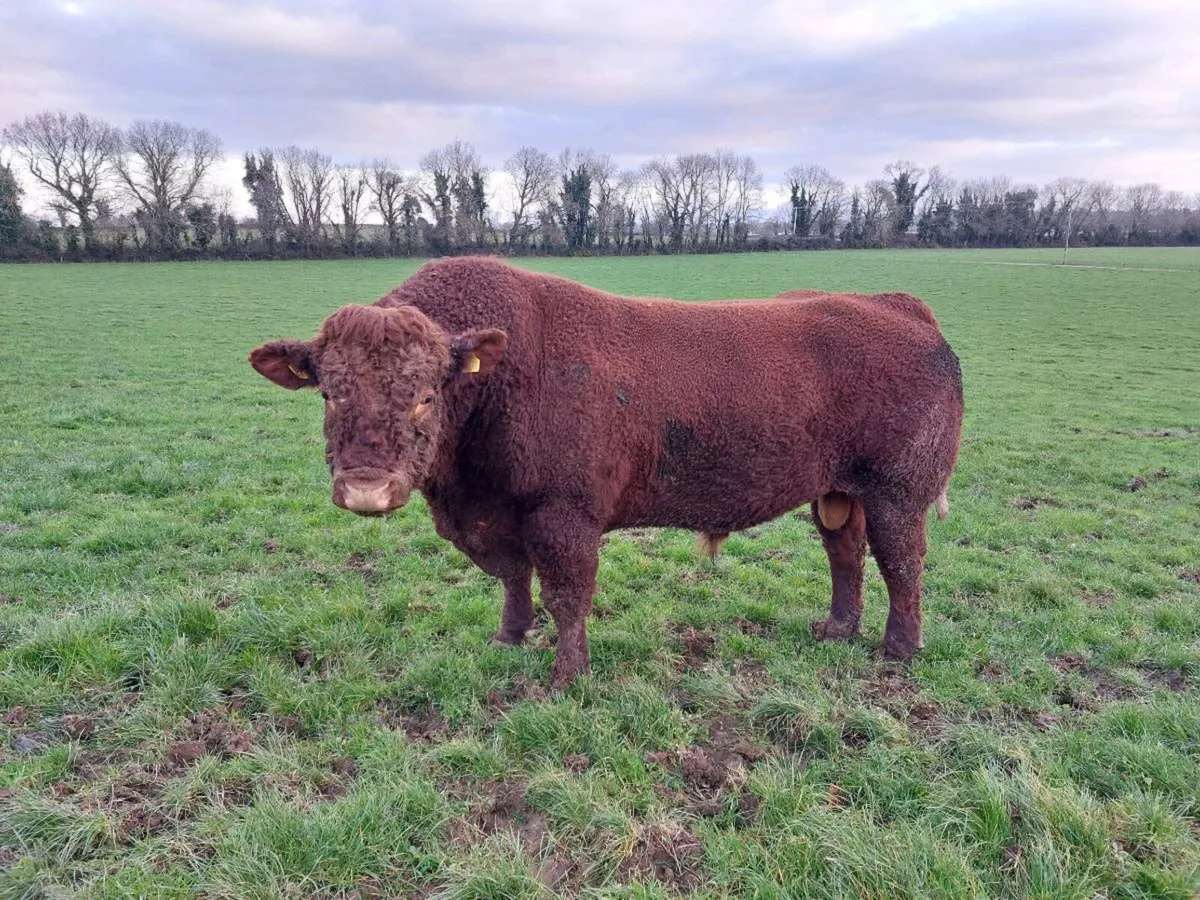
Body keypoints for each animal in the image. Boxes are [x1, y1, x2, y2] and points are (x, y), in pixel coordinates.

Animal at [249, 257, 964, 689]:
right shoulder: (496, 515)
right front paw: (509, 637)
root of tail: (898, 304)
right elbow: (513, 579)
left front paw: (567, 677)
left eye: (426, 395)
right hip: (837, 489)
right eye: (328, 394)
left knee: (902, 563)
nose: (366, 489)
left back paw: (898, 649)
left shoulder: (565, 514)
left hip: (899, 491)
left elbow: (568, 595)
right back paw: (837, 628)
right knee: (846, 552)